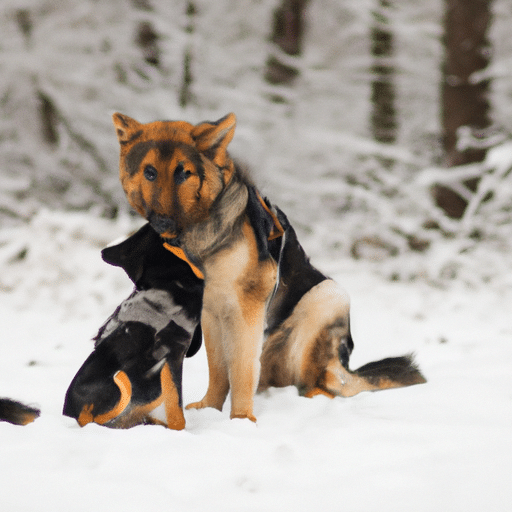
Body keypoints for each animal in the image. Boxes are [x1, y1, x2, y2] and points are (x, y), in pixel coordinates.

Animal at [113, 110, 428, 422]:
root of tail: (344, 365)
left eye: (184, 173)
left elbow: (241, 369)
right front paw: (211, 409)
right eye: (150, 173)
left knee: (325, 385)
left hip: (326, 296)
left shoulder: (245, 311)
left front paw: (241, 421)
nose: (162, 221)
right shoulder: (211, 314)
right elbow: (219, 370)